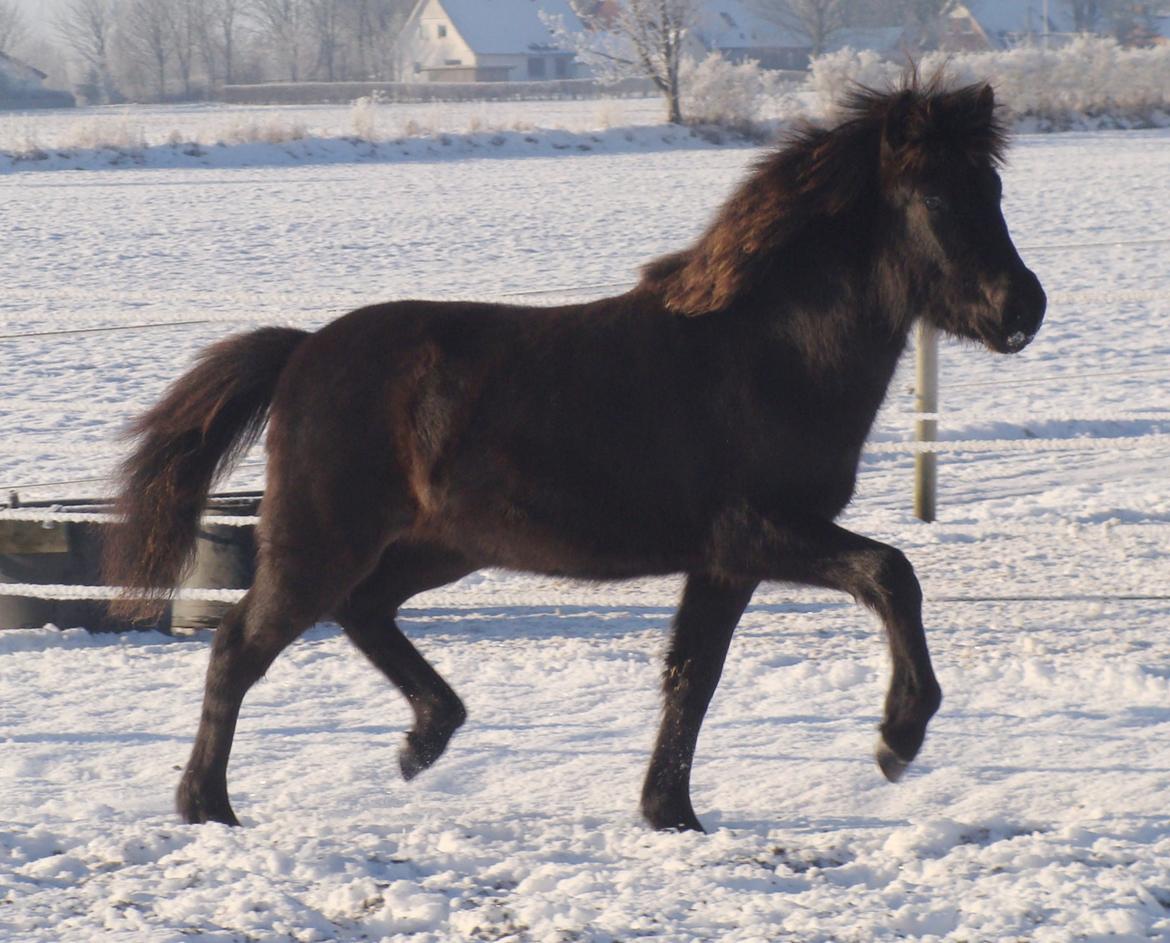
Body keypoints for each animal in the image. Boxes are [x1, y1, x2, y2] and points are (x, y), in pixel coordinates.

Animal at [105, 81, 1048, 833]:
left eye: (994, 187)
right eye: (933, 194)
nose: (1022, 309)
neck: (770, 354)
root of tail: (301, 351)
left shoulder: (725, 560)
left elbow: (691, 677)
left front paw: (671, 813)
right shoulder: (760, 531)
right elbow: (891, 574)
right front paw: (898, 737)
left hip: (439, 546)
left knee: (365, 610)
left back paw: (424, 739)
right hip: (322, 542)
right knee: (239, 646)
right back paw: (209, 805)